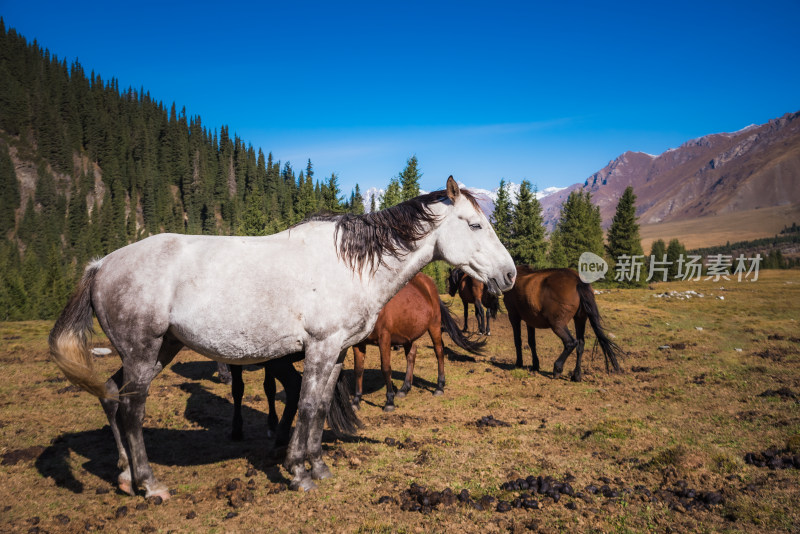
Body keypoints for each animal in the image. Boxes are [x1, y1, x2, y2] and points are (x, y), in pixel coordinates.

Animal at [352, 274, 478, 412]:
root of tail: (428, 283)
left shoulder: (384, 338)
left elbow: (385, 368)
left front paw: (389, 401)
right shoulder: (357, 343)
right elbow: (358, 369)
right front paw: (356, 401)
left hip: (434, 325)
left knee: (439, 351)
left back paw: (439, 387)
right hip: (408, 333)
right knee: (411, 354)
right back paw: (404, 388)